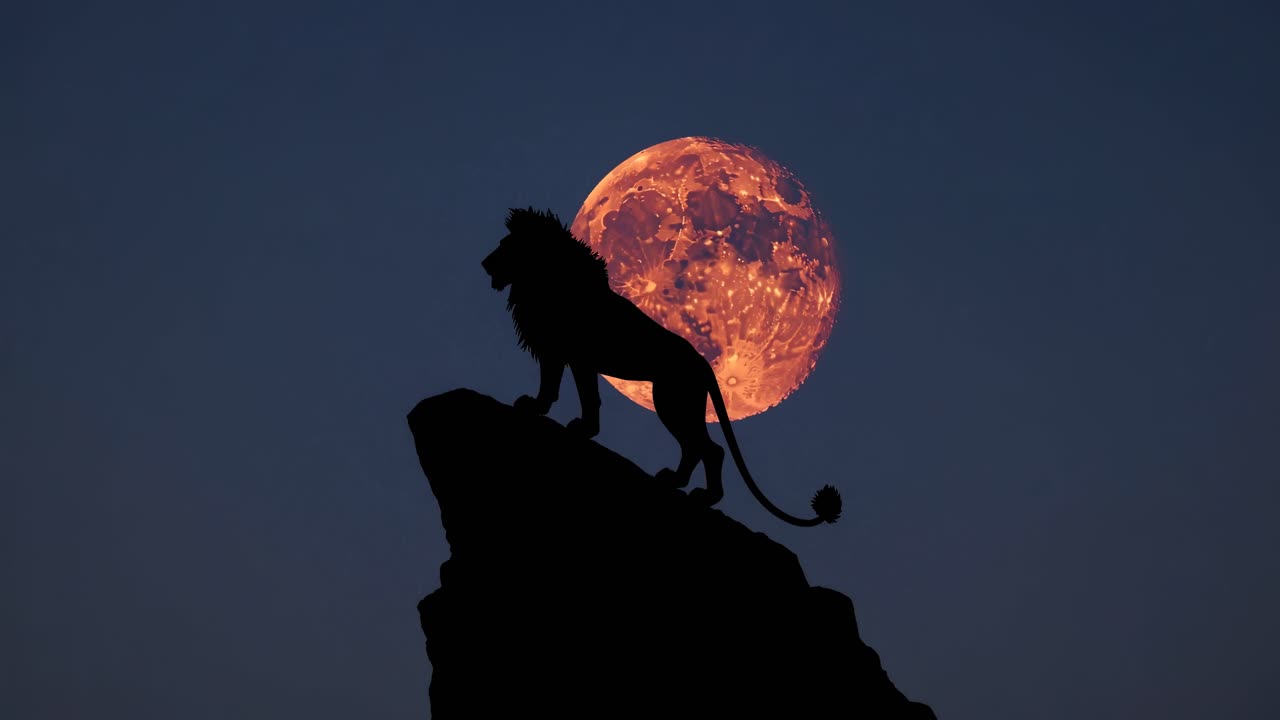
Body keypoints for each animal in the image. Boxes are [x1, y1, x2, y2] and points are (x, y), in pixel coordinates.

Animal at [482, 207, 841, 526]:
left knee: (708, 449)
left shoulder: (574, 356)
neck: (545, 282)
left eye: (506, 245)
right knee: (698, 448)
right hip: (678, 403)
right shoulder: (558, 352)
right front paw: (550, 412)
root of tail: (703, 363)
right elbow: (557, 387)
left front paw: (570, 423)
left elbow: (580, 395)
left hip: (671, 401)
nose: (485, 263)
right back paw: (682, 485)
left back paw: (697, 492)